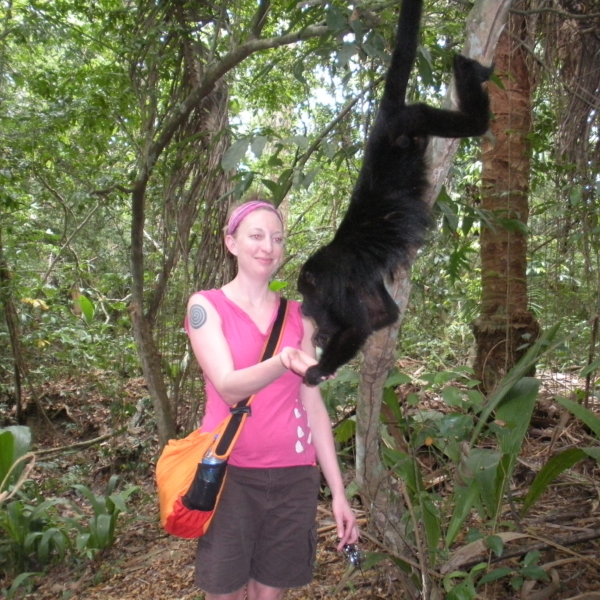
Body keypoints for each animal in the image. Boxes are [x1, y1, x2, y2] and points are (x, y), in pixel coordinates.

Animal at [298, 0, 492, 384]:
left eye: (306, 294)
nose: (303, 310)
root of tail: (381, 123)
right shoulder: (363, 282)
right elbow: (382, 316)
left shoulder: (333, 283)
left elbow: (358, 327)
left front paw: (318, 369)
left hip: (406, 122)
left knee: (456, 120)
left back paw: (468, 73)